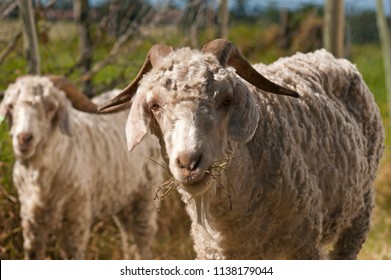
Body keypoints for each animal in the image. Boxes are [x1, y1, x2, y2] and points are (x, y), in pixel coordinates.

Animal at [0, 75, 165, 260]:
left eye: (50, 107)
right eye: (11, 106)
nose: (24, 138)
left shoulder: (76, 218)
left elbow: (73, 254)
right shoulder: (31, 220)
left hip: (146, 193)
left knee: (142, 236)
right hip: (123, 196)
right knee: (128, 234)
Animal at [99, 38, 386, 260]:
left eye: (226, 100)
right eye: (155, 106)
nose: (189, 163)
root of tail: (330, 56)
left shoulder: (303, 246)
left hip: (358, 215)